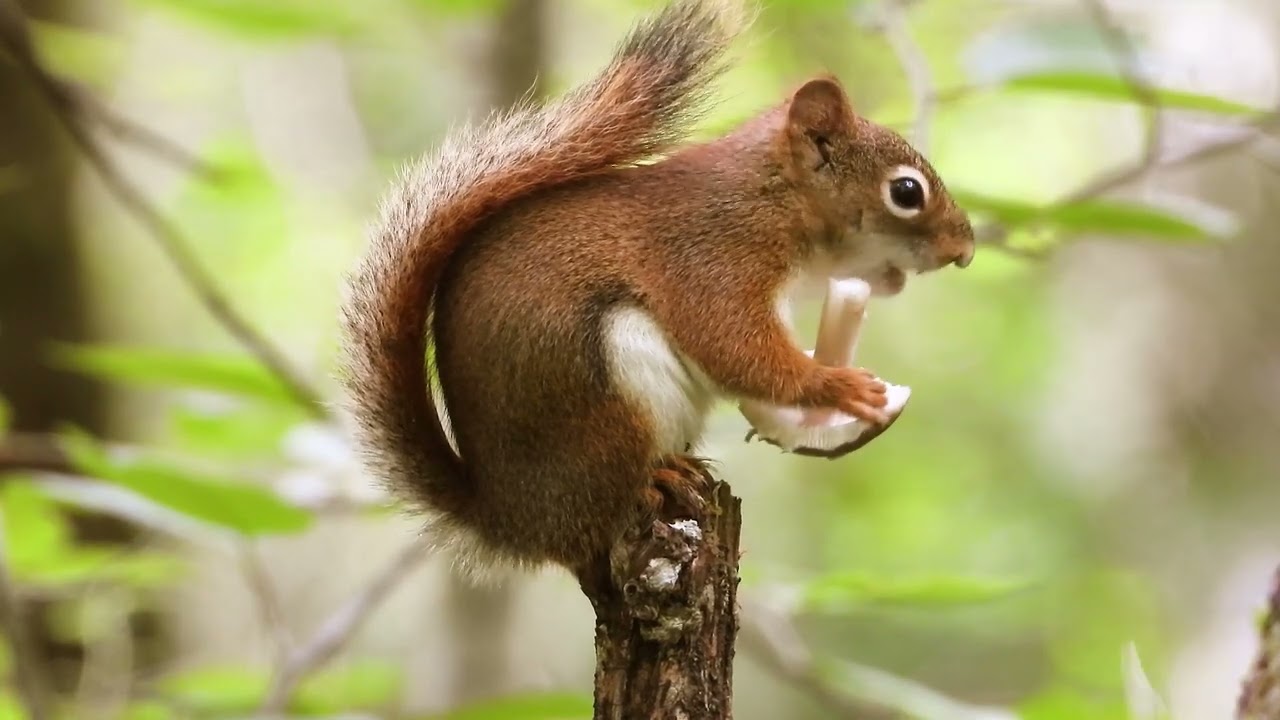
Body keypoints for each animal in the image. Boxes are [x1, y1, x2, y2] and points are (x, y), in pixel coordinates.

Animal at [339, 0, 975, 584]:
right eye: (906, 192)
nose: (964, 251)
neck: (772, 196)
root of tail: (515, 523)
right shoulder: (714, 261)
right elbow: (736, 348)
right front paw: (838, 385)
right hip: (609, 396)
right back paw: (655, 479)